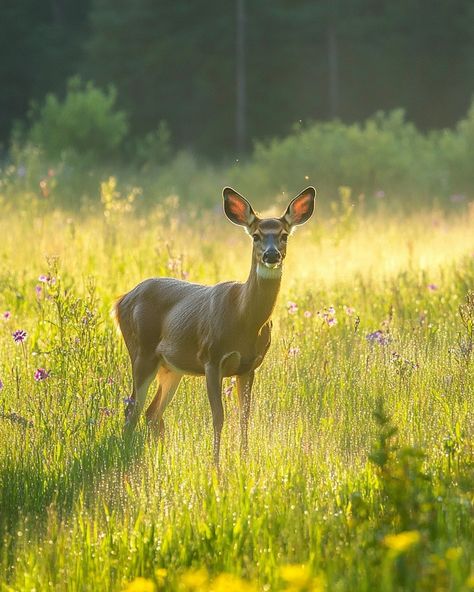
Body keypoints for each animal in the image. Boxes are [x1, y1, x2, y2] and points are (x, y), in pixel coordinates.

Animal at [114, 187, 314, 464]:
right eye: (256, 236)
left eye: (284, 235)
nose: (271, 254)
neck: (244, 318)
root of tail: (121, 300)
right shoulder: (211, 357)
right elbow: (218, 417)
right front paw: (216, 464)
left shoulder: (249, 366)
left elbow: (244, 418)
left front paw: (244, 459)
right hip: (141, 351)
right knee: (131, 408)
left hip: (171, 367)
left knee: (152, 413)